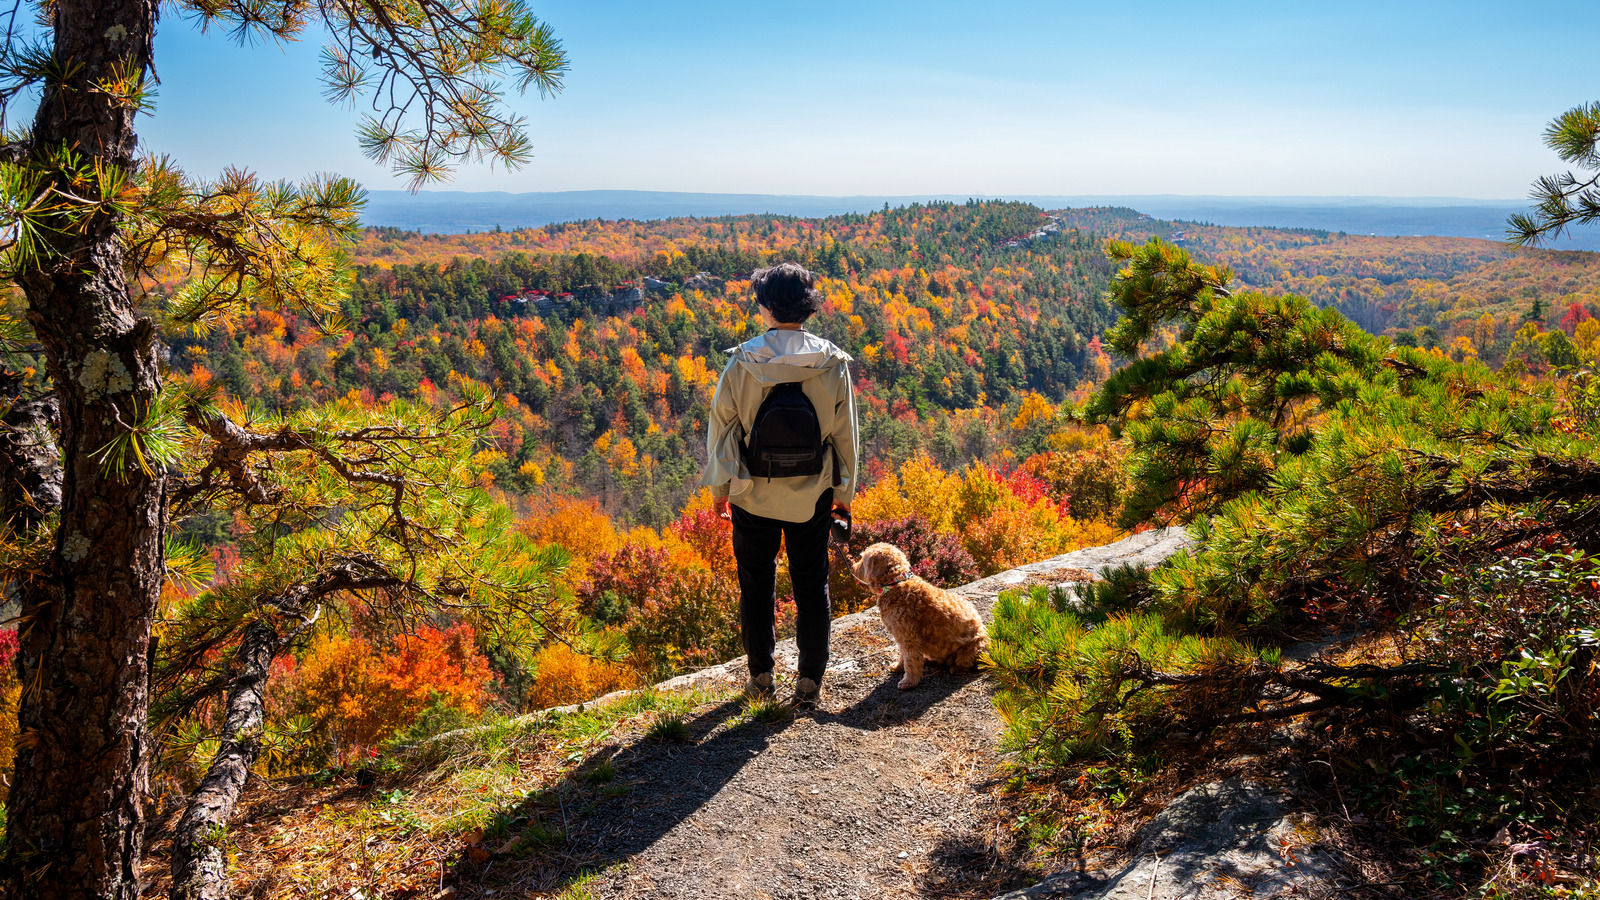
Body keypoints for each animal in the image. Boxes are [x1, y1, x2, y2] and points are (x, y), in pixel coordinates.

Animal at [851, 538, 985, 685]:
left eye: (863, 560)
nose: (852, 568)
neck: (894, 585)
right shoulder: (901, 636)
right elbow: (903, 656)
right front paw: (898, 667)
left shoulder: (909, 637)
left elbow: (910, 661)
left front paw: (909, 682)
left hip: (973, 647)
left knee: (966, 663)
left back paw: (957, 668)